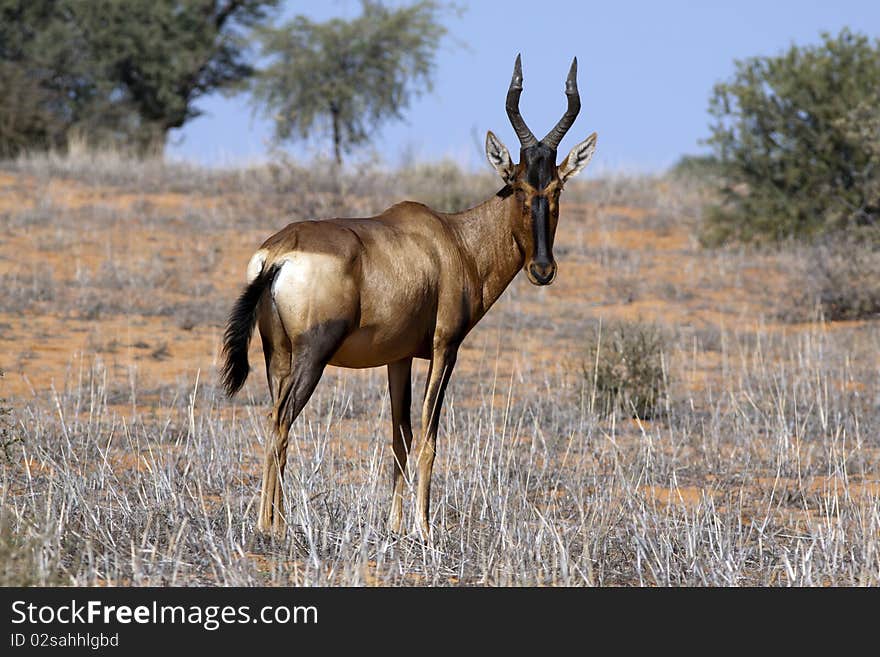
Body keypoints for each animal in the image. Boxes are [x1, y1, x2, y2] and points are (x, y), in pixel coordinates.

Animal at [222, 55, 600, 540]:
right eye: (517, 186)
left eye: (555, 188)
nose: (542, 269)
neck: (453, 239)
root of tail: (278, 253)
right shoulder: (444, 348)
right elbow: (428, 433)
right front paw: (423, 527)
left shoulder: (397, 357)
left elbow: (399, 436)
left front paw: (396, 524)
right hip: (313, 353)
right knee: (282, 421)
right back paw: (272, 526)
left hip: (278, 354)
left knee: (274, 419)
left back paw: (274, 521)